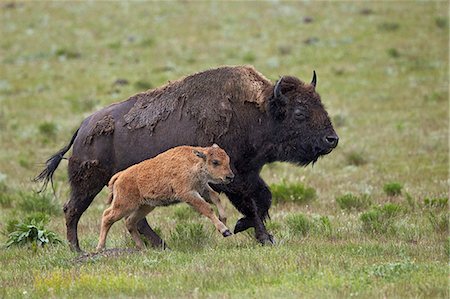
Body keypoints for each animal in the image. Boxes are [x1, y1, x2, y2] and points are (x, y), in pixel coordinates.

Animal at [96, 145, 234, 251]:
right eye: (215, 162)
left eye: (228, 159)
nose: (230, 176)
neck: (193, 162)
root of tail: (120, 175)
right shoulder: (188, 194)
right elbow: (207, 208)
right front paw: (225, 231)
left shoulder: (202, 189)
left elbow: (216, 198)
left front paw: (223, 219)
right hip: (124, 205)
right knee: (107, 216)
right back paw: (100, 247)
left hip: (145, 206)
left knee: (130, 222)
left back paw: (142, 248)